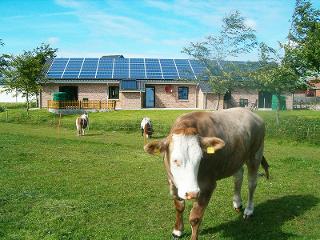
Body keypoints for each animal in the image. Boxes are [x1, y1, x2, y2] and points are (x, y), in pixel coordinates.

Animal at [144, 109, 268, 240]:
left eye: (200, 158)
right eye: (175, 160)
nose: (192, 193)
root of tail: (251, 113)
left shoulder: (207, 186)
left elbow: (195, 217)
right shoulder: (172, 183)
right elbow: (179, 207)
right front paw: (177, 230)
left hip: (256, 154)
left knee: (252, 183)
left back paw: (249, 210)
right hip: (237, 158)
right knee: (238, 177)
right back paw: (237, 203)